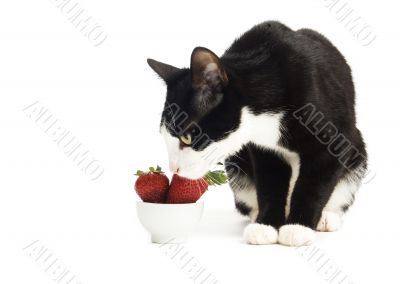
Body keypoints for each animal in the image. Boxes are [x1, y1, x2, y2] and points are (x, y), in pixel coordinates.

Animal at [146, 21, 366, 246]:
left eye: (187, 136)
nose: (174, 168)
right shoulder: (262, 148)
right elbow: (269, 181)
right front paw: (266, 225)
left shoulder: (331, 139)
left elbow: (314, 183)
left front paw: (298, 228)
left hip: (357, 151)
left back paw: (325, 217)